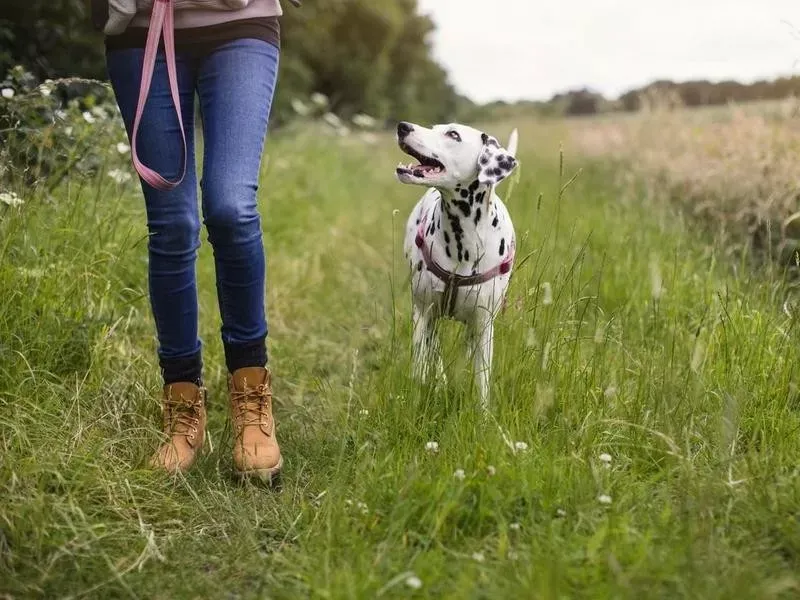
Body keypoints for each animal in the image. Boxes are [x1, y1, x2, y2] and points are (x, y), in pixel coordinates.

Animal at [396, 121, 520, 408]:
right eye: (434, 127)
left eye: (453, 134)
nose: (403, 126)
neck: (462, 241)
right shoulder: (423, 313)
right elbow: (421, 366)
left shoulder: (484, 326)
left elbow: (482, 380)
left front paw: (483, 415)